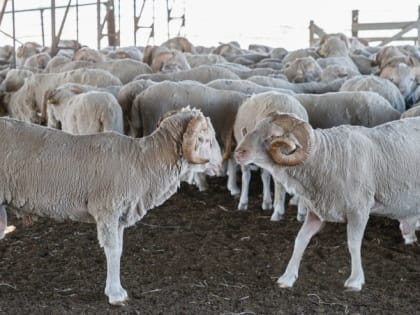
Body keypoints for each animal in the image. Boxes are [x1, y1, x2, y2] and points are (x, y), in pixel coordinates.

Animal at [0, 108, 223, 306]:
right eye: (204, 139)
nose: (220, 165)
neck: (143, 163)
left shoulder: (120, 216)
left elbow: (120, 249)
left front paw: (115, 289)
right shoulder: (107, 210)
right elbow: (113, 250)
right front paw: (116, 295)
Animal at [233, 92, 308, 222]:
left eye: (273, 136)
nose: (239, 152)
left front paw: (302, 212)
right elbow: (278, 183)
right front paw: (278, 211)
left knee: (265, 176)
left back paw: (267, 202)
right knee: (247, 175)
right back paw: (243, 202)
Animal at [236, 112, 420, 292]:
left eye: (273, 135)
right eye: (255, 128)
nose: (238, 153)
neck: (326, 158)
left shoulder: (359, 211)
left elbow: (353, 243)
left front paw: (355, 281)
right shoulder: (316, 213)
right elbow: (300, 240)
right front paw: (287, 277)